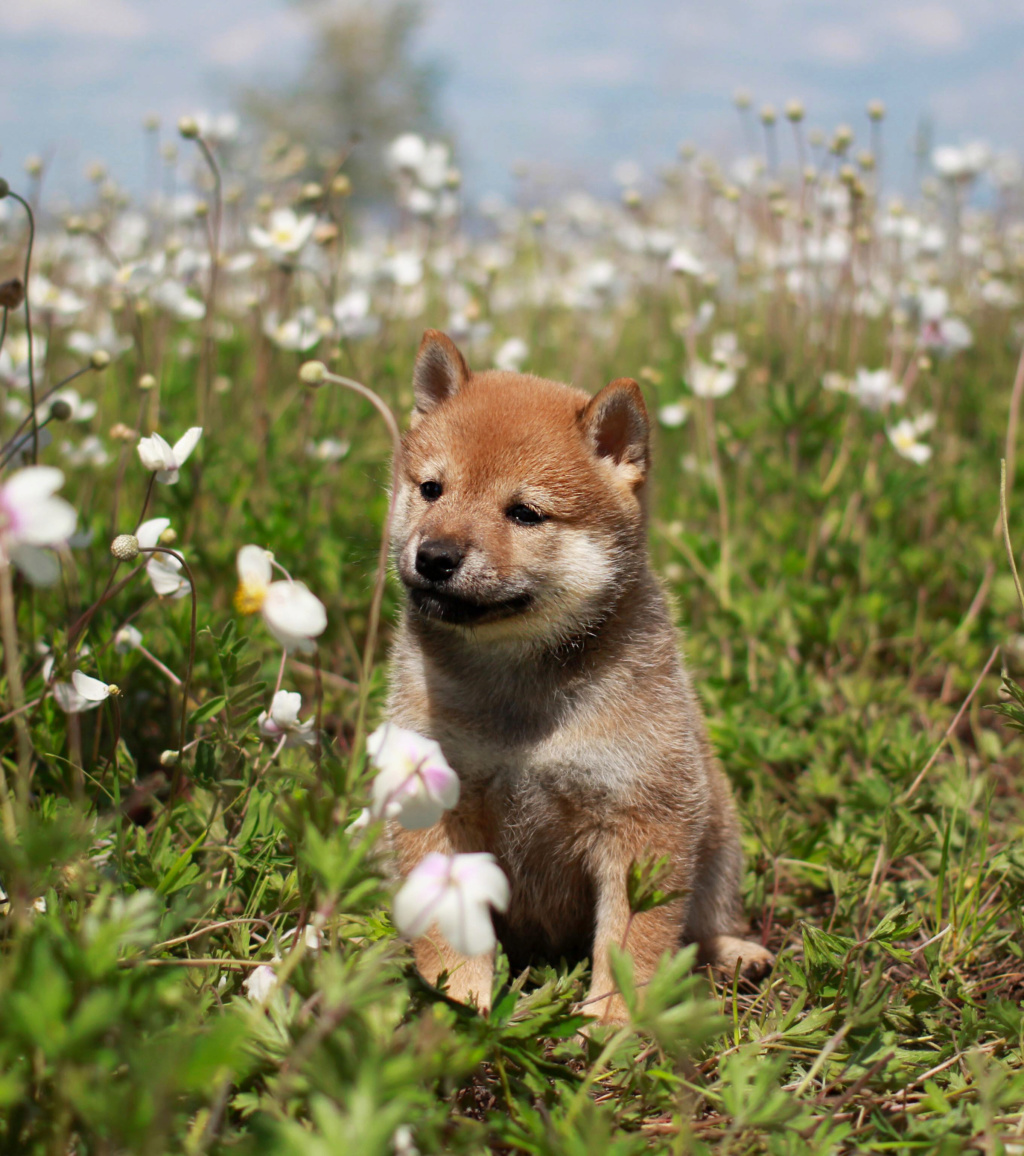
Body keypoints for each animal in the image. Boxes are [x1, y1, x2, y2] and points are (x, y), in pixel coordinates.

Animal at [388, 328, 772, 1021]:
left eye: (524, 514)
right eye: (432, 489)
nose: (434, 556)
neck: (518, 690)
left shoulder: (645, 816)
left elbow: (633, 946)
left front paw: (612, 1027)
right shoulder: (434, 798)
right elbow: (448, 933)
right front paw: (460, 1005)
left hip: (718, 829)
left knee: (699, 926)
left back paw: (734, 953)